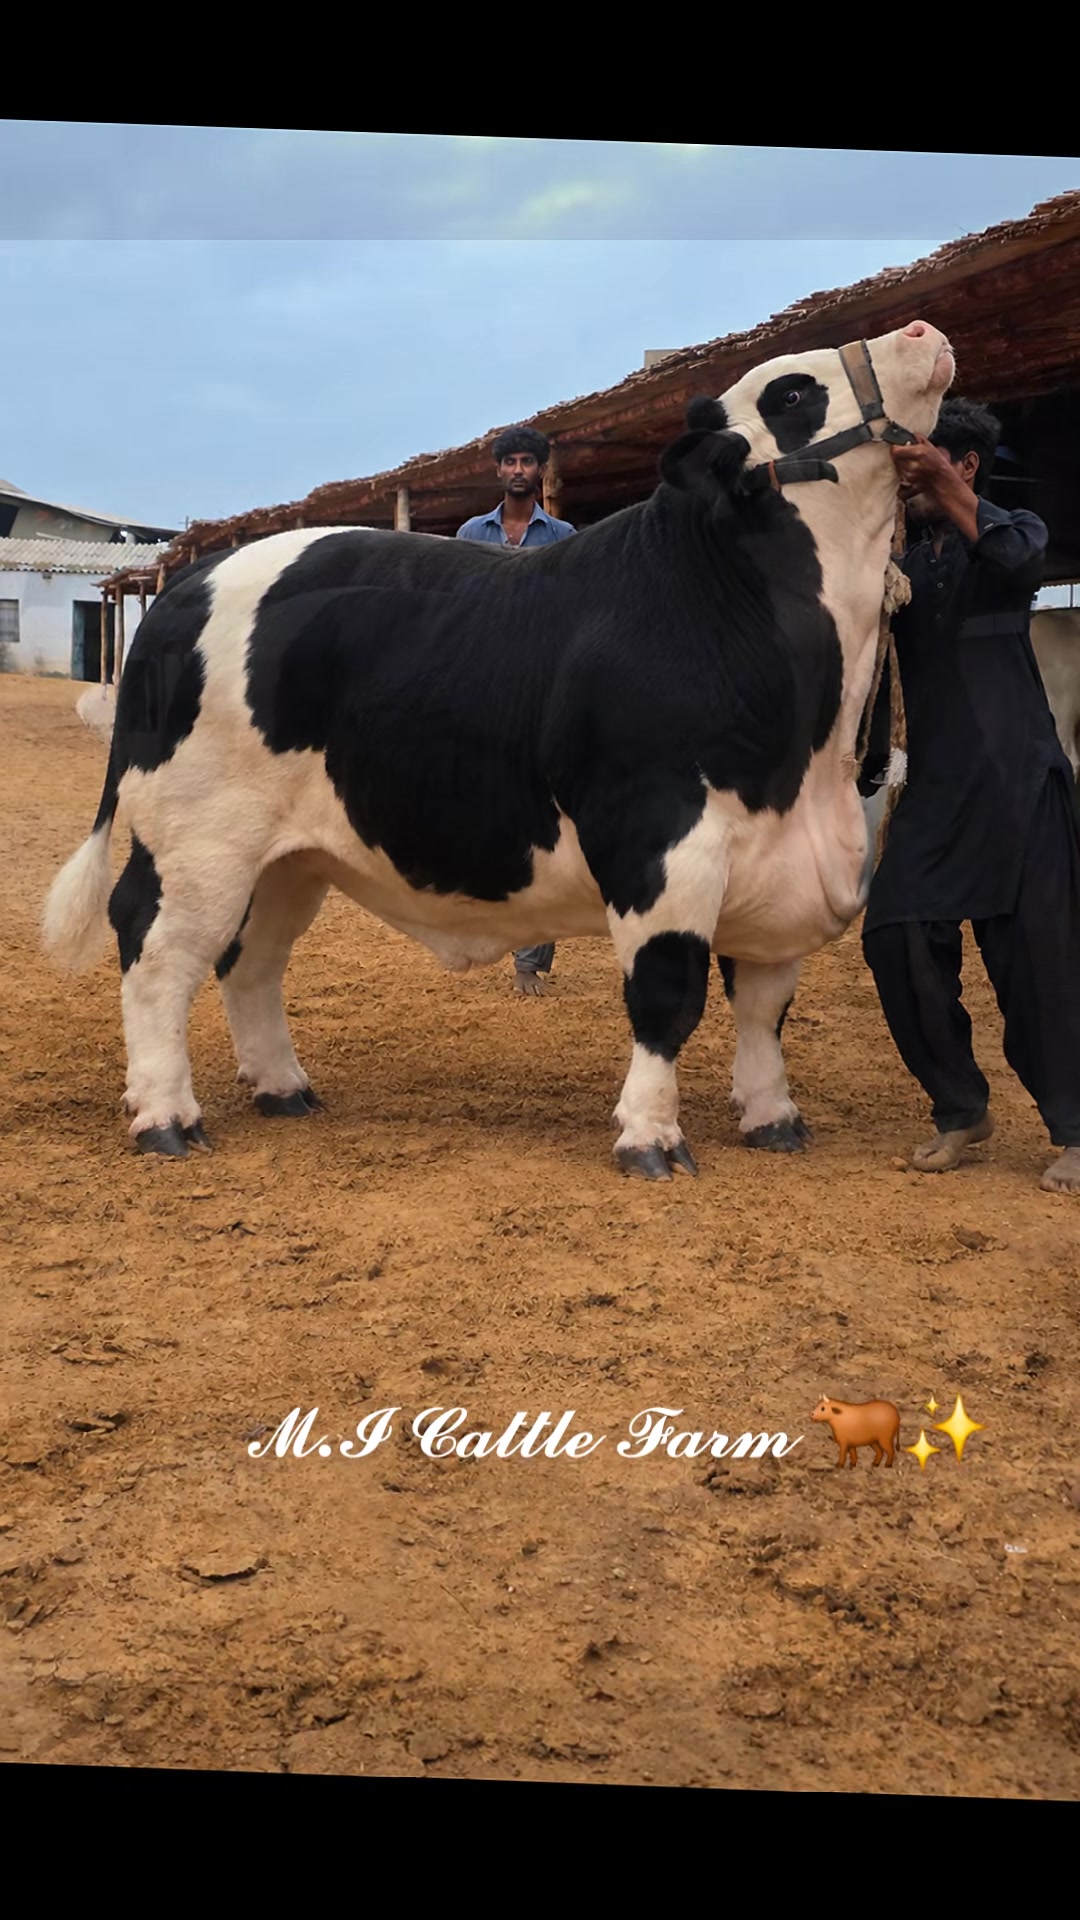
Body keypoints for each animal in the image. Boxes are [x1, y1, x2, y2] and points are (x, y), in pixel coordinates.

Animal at [41, 319, 955, 1177]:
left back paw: (283, 1088)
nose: (920, 331)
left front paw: (774, 1119)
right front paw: (651, 1138)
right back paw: (166, 1118)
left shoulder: (787, 862)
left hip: (287, 857)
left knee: (250, 957)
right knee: (157, 951)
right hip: (194, 836)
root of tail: (184, 587)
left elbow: (765, 1006)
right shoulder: (663, 845)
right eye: (793, 393)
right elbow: (668, 996)